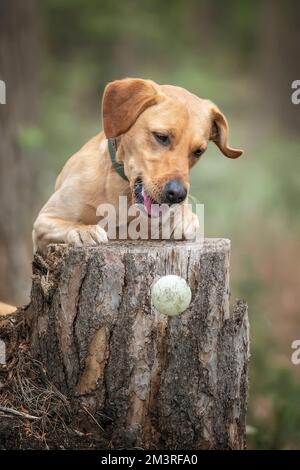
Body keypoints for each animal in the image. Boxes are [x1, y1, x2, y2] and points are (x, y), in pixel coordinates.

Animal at [32, 78, 244, 253]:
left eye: (198, 151)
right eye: (161, 137)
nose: (178, 194)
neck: (120, 190)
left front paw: (180, 217)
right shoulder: (43, 221)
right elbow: (70, 224)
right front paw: (84, 231)